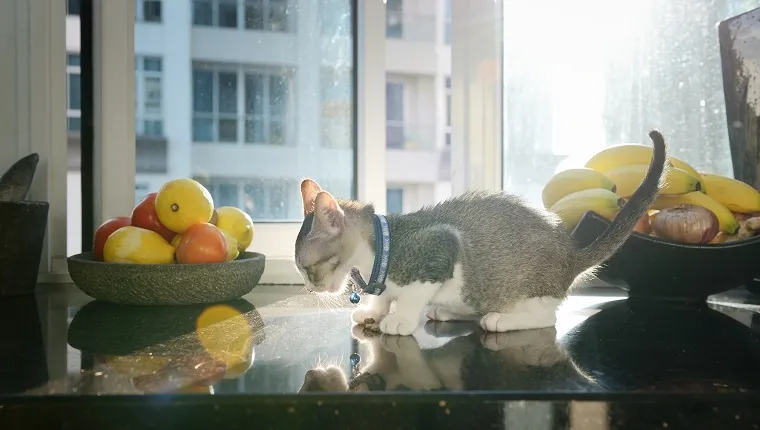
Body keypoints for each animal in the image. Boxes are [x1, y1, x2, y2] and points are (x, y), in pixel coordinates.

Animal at [296, 129, 664, 334]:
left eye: (308, 267)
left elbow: (413, 293)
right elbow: (384, 297)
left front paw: (400, 319)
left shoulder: (440, 247)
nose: (311, 289)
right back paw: (447, 311)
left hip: (525, 288)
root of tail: (569, 254)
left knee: (547, 318)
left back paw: (501, 320)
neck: (379, 254)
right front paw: (374, 310)